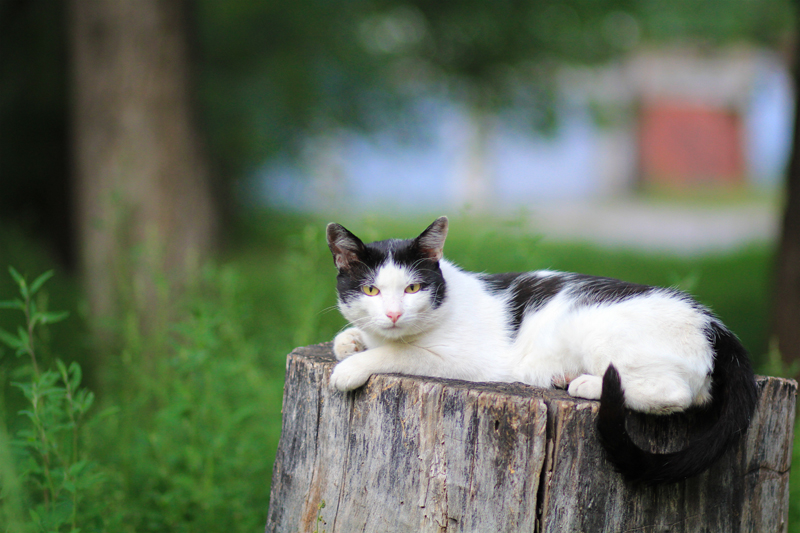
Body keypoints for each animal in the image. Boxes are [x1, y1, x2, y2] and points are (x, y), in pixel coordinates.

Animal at [324, 215, 756, 482]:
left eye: (413, 288)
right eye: (370, 290)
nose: (394, 314)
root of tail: (715, 325)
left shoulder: (463, 360)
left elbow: (399, 353)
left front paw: (350, 368)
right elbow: (351, 337)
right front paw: (350, 340)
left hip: (600, 333)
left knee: (674, 393)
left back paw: (586, 383)